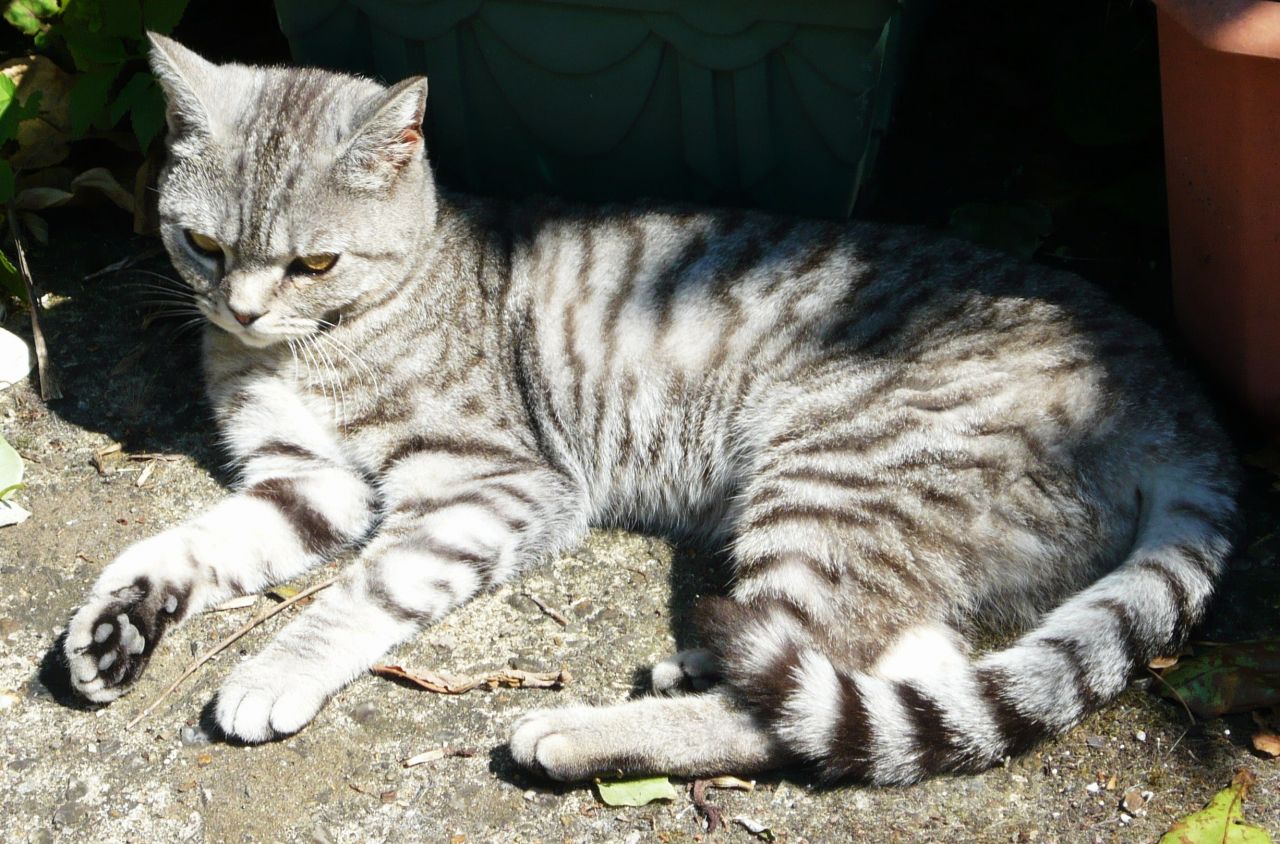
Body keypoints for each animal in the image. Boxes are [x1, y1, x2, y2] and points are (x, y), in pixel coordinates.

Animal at [62, 32, 1239, 783]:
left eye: (314, 262)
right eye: (202, 244)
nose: (241, 307)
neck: (309, 348)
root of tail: (1171, 388)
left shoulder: (487, 485)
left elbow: (360, 593)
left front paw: (276, 668)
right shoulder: (307, 482)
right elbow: (190, 543)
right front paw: (115, 618)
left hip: (829, 481)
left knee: (792, 718)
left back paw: (576, 734)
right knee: (898, 671)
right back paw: (700, 660)